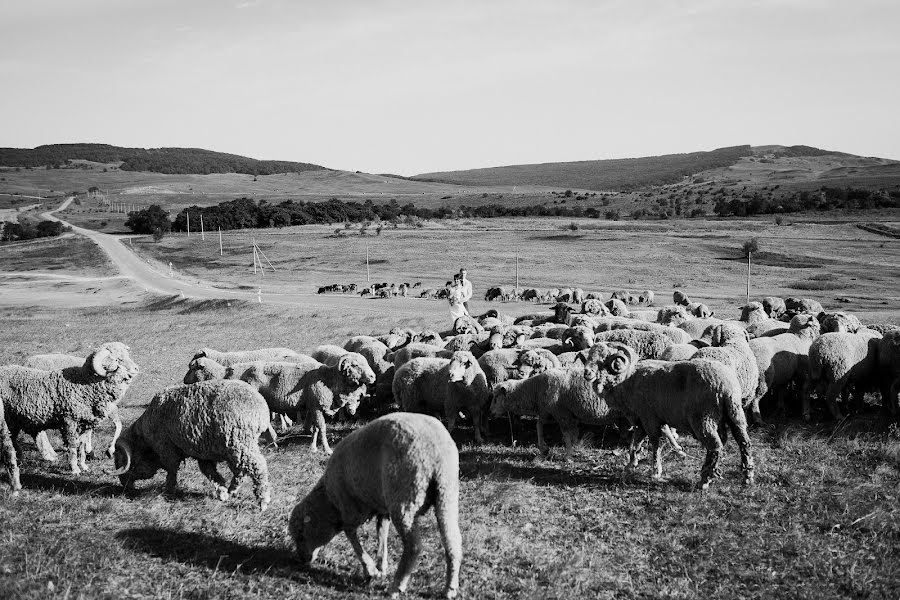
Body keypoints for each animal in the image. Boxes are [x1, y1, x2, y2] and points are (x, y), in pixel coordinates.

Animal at [0, 344, 138, 476]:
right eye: (117, 359)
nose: (135, 370)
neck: (84, 383)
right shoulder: (69, 421)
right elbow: (72, 445)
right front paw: (75, 468)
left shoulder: (85, 422)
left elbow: (82, 444)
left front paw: (83, 465)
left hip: (15, 419)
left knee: (13, 439)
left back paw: (19, 460)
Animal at [110, 378, 270, 508]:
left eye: (120, 460)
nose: (124, 485)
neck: (145, 439)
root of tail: (261, 406)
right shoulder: (203, 453)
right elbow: (210, 473)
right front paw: (222, 491)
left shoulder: (167, 449)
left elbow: (172, 471)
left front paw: (168, 492)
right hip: (236, 446)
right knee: (240, 470)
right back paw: (233, 490)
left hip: (239, 441)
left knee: (258, 466)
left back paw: (263, 500)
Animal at [288, 412, 460, 600]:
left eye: (301, 535)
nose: (301, 560)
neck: (330, 501)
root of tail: (436, 453)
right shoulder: (381, 507)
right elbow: (382, 533)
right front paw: (381, 566)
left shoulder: (351, 509)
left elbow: (352, 535)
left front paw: (370, 570)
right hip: (446, 495)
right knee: (453, 541)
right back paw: (450, 588)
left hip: (404, 499)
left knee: (414, 547)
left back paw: (397, 586)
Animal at [580, 344, 756, 490]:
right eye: (588, 357)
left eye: (603, 360)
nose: (586, 373)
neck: (627, 380)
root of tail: (726, 386)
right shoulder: (646, 418)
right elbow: (639, 441)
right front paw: (631, 465)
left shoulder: (648, 417)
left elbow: (654, 442)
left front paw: (655, 471)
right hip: (734, 414)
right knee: (744, 442)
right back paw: (747, 476)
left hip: (703, 419)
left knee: (715, 446)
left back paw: (705, 480)